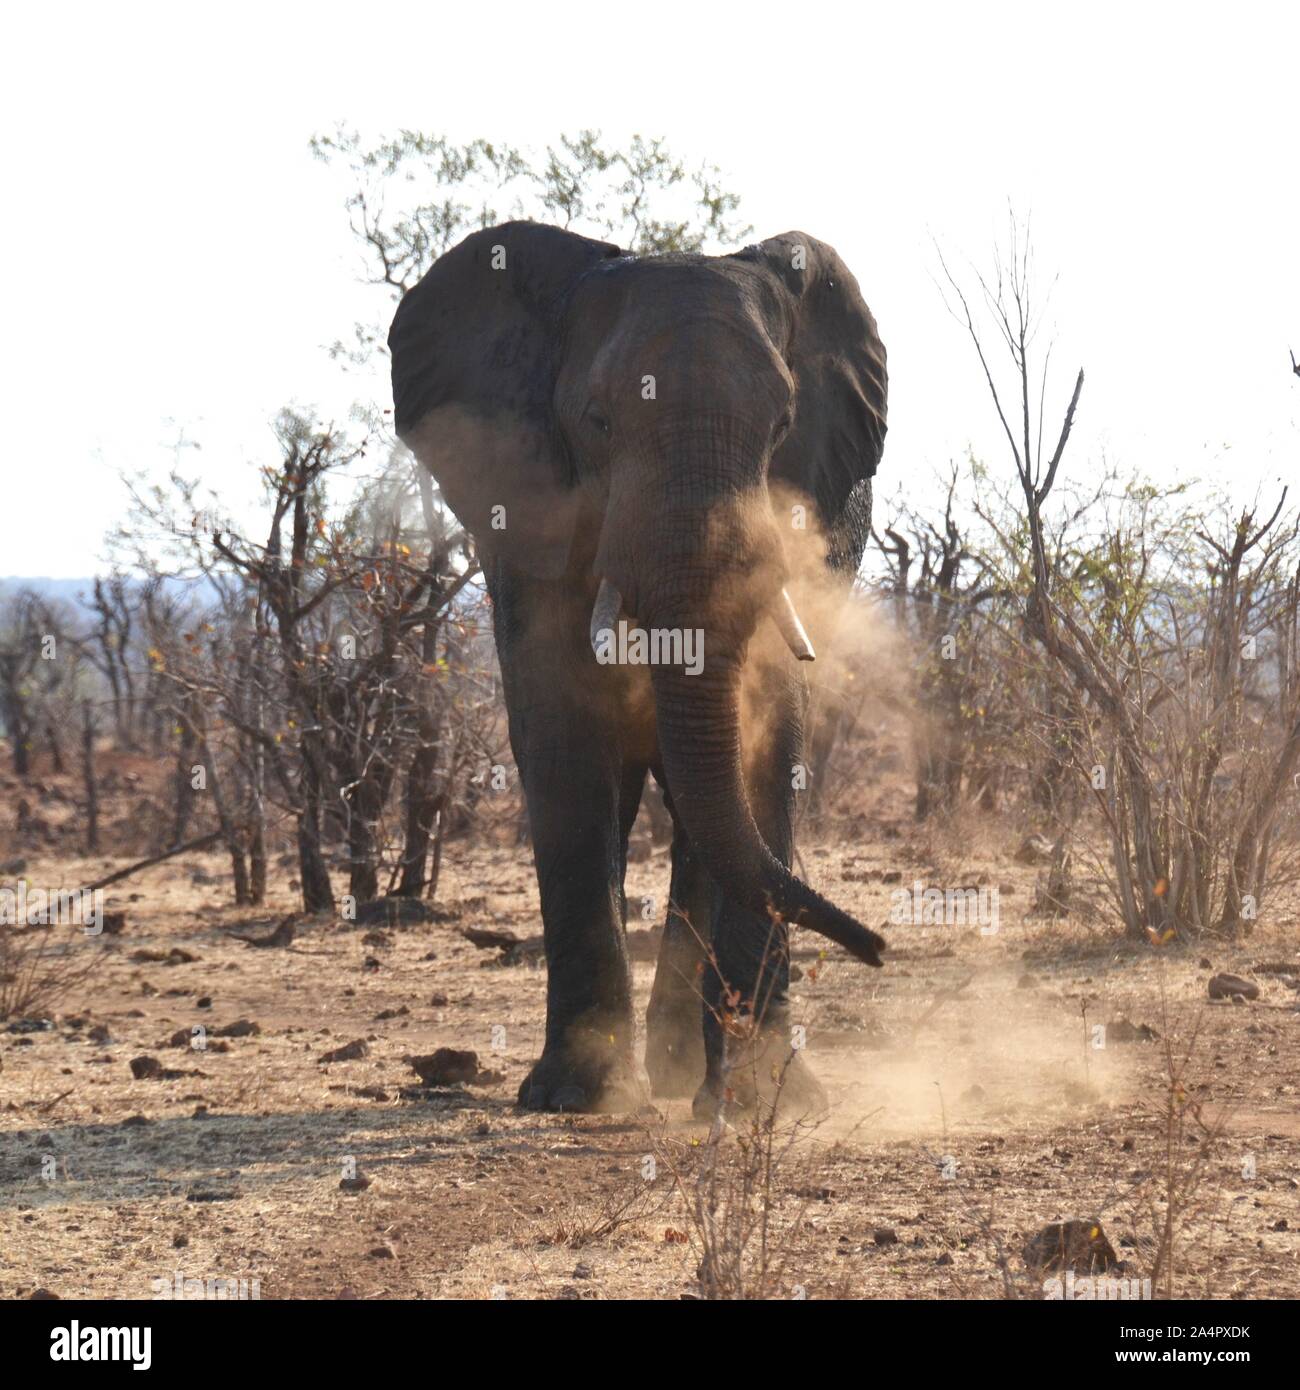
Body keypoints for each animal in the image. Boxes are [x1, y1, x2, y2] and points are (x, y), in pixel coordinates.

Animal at [392, 219, 889, 1117]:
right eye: (597, 421)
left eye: (783, 427)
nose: (878, 947)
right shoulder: (529, 513)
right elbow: (563, 738)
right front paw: (576, 1096)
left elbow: (771, 734)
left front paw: (763, 1098)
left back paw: (690, 1073)